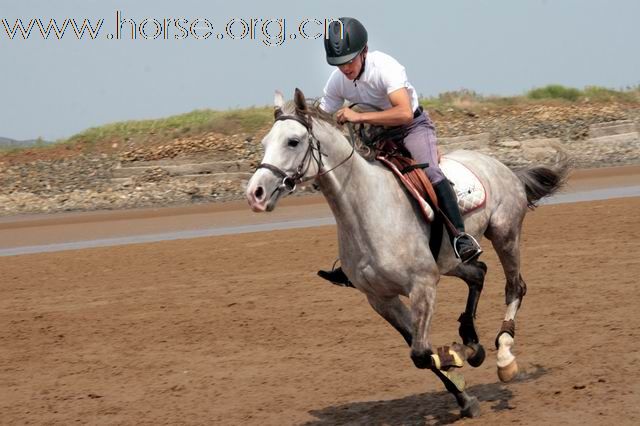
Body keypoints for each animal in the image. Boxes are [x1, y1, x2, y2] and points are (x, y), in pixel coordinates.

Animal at [244, 88, 564, 418]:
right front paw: (464, 393)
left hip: (505, 233)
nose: (255, 194)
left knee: (514, 287)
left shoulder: (422, 286)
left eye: (293, 141)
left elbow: (422, 352)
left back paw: (503, 358)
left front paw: (455, 356)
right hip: (449, 261)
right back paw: (473, 343)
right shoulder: (381, 299)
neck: (367, 210)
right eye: (265, 143)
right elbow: (417, 349)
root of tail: (500, 166)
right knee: (478, 273)